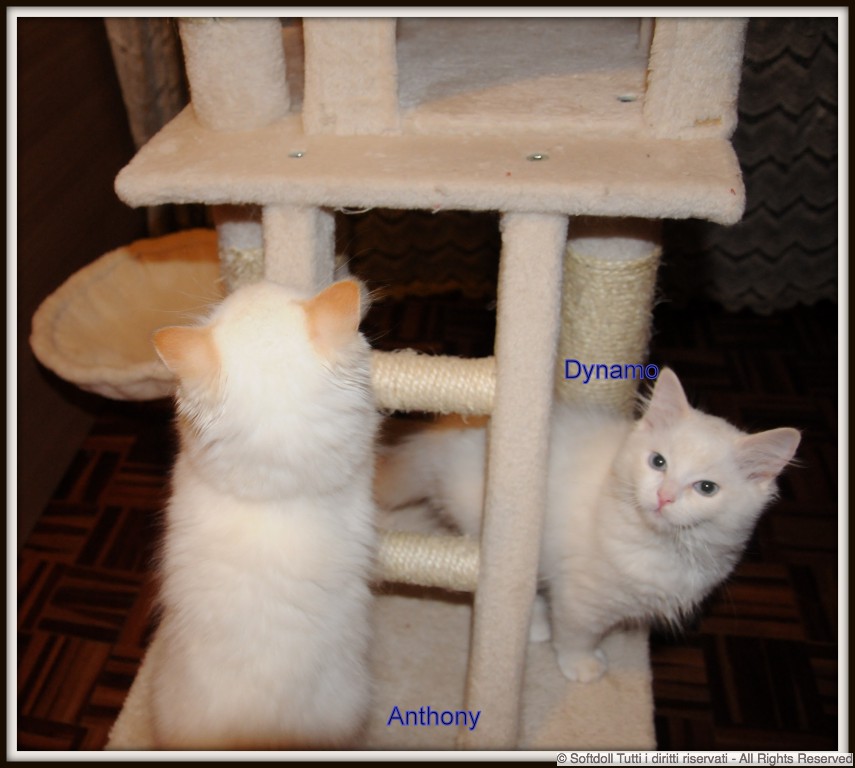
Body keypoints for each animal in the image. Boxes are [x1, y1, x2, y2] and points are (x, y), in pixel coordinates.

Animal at [375, 368, 800, 683]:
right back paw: (534, 626)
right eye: (658, 462)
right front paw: (580, 665)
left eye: (706, 488)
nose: (664, 497)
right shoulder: (582, 595)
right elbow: (577, 632)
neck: (664, 546)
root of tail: (441, 433)